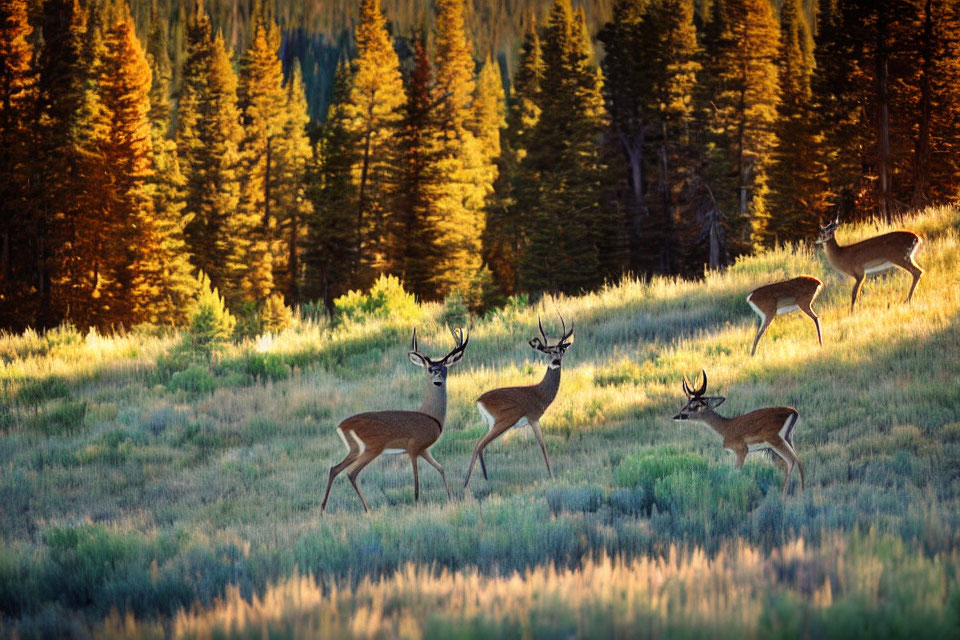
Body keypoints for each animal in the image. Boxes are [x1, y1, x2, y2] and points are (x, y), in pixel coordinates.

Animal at [318, 328, 468, 512]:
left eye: (444, 368)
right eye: (429, 369)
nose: (438, 377)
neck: (431, 417)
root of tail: (341, 426)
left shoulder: (424, 450)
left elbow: (441, 468)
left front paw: (451, 498)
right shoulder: (413, 448)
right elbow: (416, 481)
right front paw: (416, 504)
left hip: (355, 450)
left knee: (335, 469)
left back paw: (323, 509)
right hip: (372, 448)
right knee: (351, 472)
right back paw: (367, 509)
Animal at [464, 312, 572, 488]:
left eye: (561, 351)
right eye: (549, 352)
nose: (556, 361)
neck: (540, 393)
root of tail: (479, 401)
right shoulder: (533, 418)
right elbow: (543, 446)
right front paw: (552, 476)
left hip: (494, 423)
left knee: (480, 444)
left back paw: (481, 479)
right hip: (504, 420)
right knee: (479, 443)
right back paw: (468, 483)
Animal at [672, 370, 808, 496]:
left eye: (696, 405)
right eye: (687, 403)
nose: (678, 415)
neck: (725, 428)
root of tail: (794, 412)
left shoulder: (741, 449)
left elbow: (736, 472)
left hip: (775, 440)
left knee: (792, 461)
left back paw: (788, 495)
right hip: (787, 438)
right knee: (797, 460)